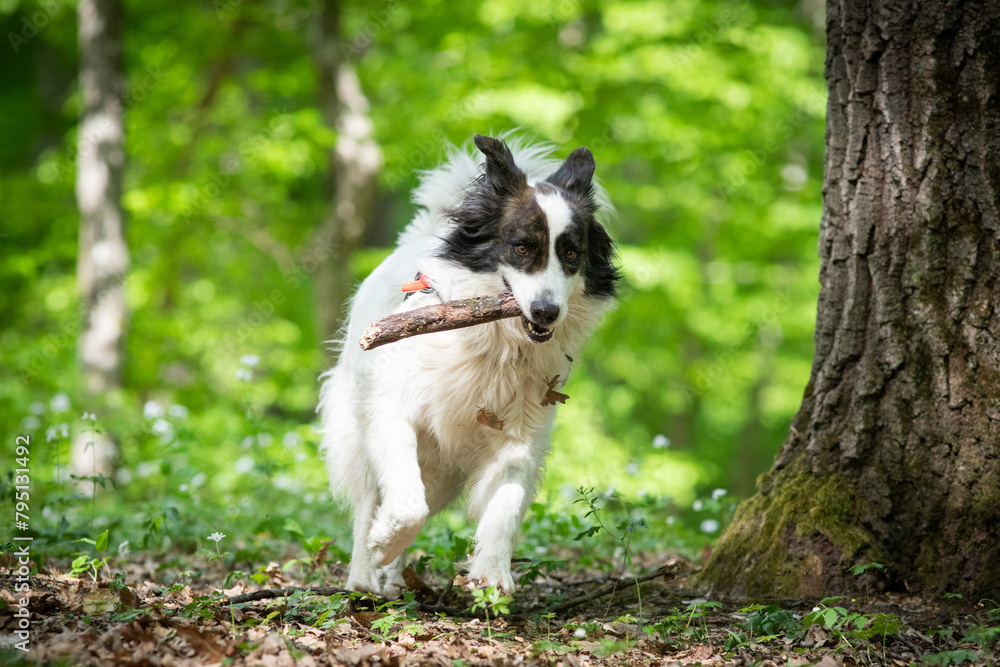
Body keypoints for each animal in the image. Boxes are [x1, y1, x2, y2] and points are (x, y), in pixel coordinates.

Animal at [318, 133, 616, 596]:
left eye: (571, 253)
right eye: (522, 246)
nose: (547, 312)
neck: (497, 342)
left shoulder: (521, 434)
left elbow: (507, 501)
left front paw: (492, 572)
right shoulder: (390, 408)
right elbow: (407, 503)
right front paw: (382, 543)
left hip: (444, 471)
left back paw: (394, 578)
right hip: (357, 422)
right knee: (370, 498)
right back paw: (365, 577)